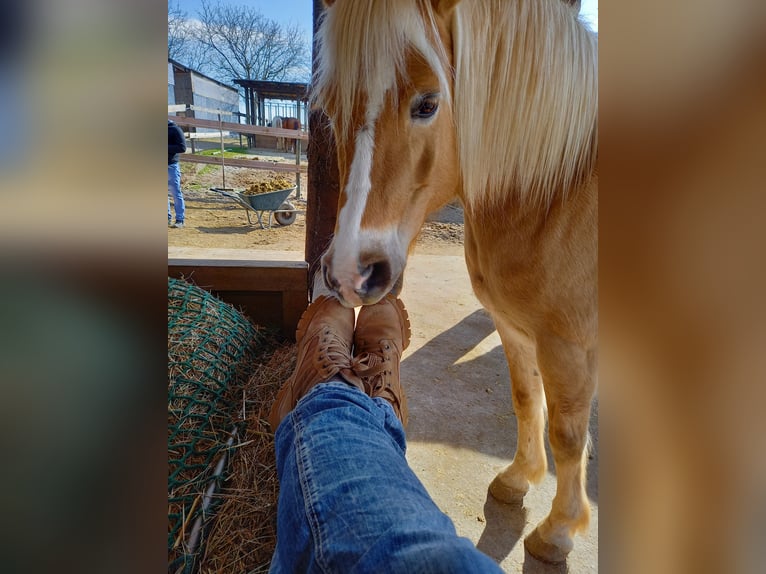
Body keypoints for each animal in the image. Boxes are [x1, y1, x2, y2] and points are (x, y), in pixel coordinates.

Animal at [316, 0, 600, 568]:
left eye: (428, 103)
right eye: (332, 109)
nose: (351, 273)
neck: (557, 192)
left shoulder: (569, 346)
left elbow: (566, 435)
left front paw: (557, 532)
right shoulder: (512, 327)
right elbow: (524, 398)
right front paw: (518, 479)